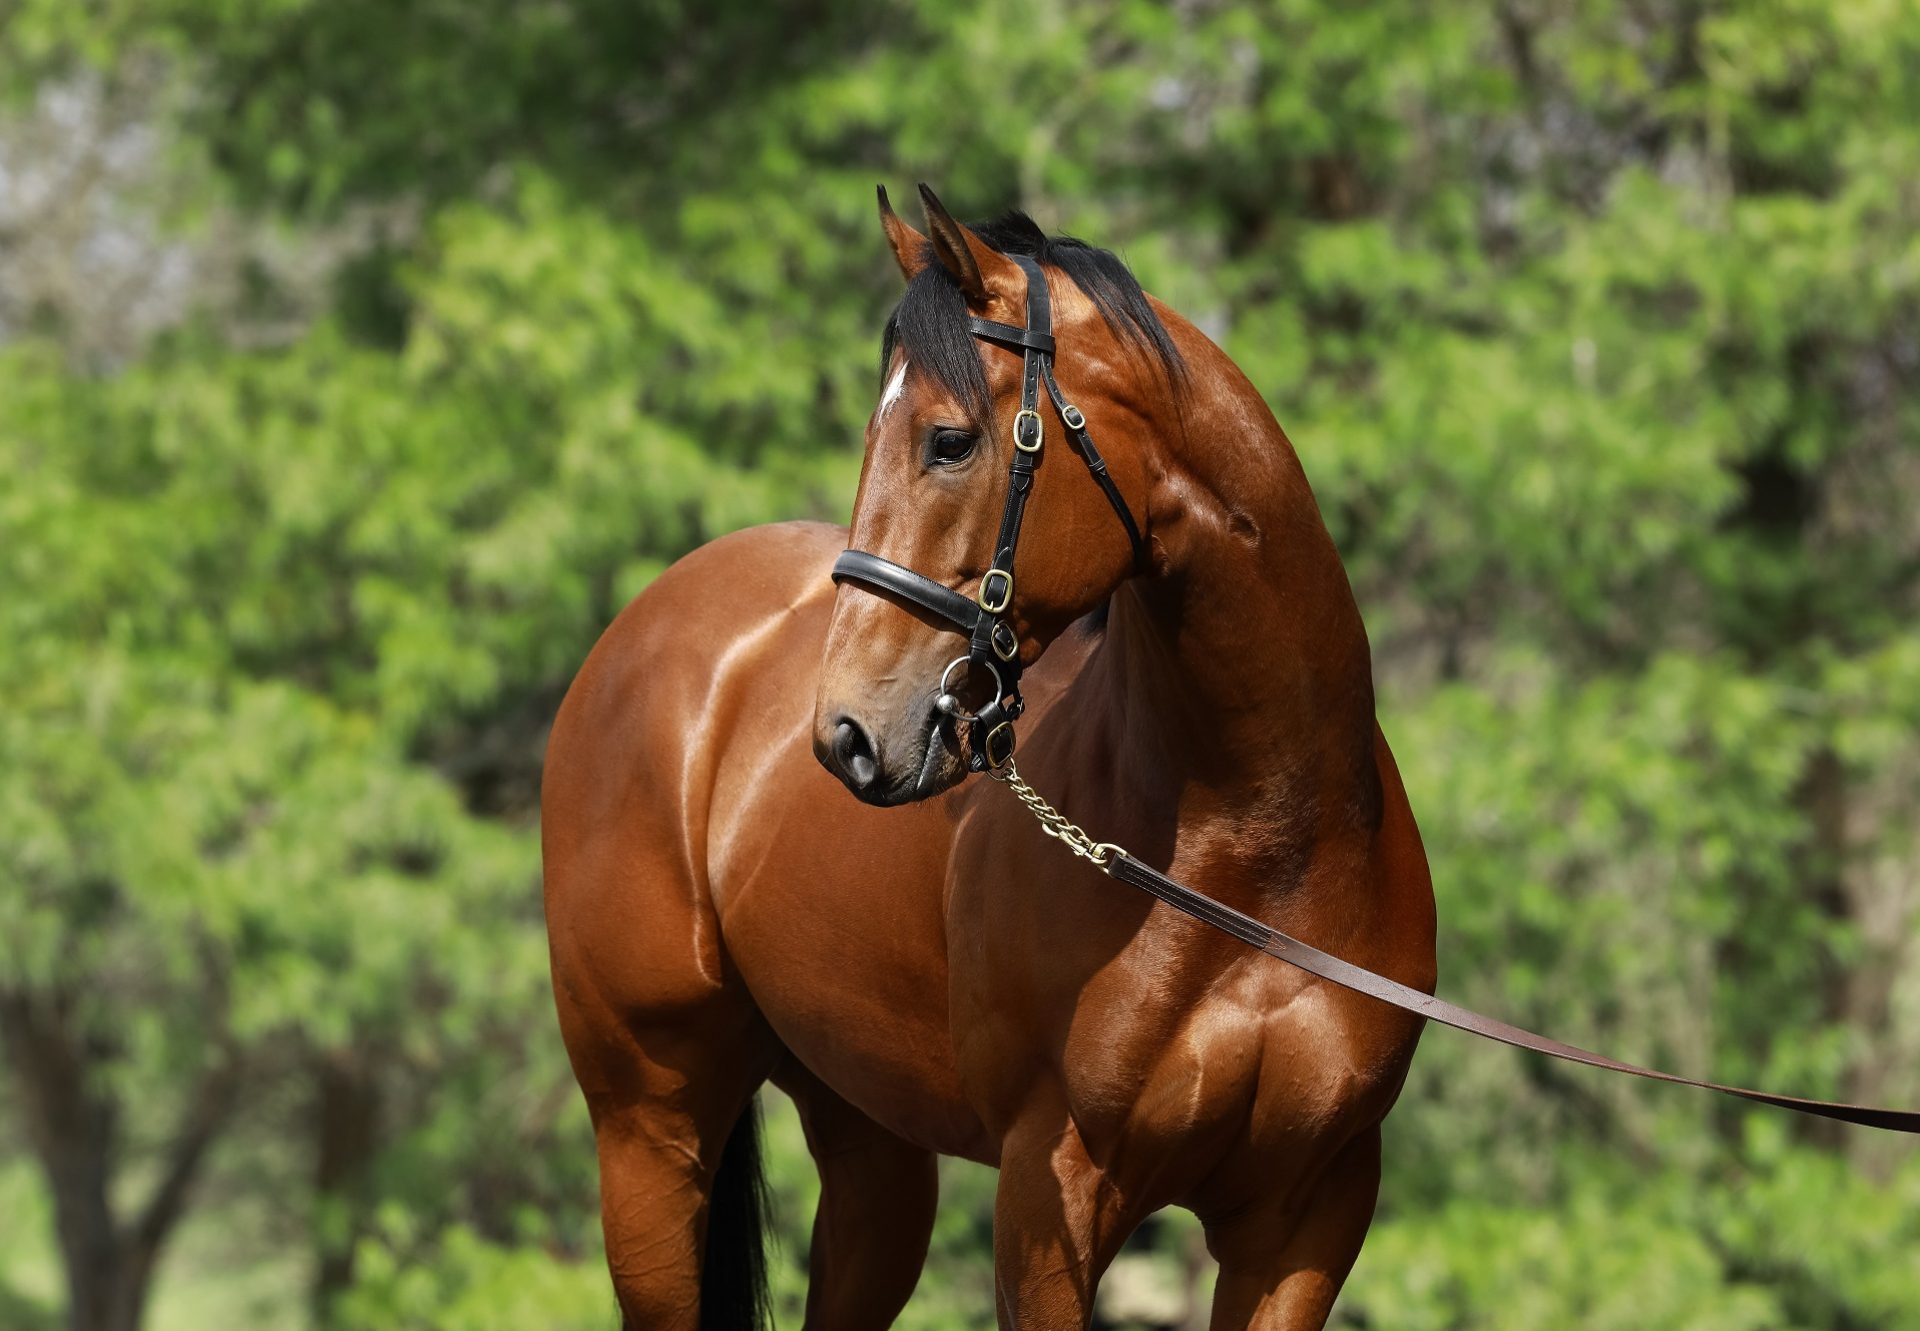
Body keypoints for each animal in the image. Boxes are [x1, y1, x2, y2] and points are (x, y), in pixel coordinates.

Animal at [549, 181, 1436, 1321]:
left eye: (949, 441)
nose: (848, 735)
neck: (1261, 847)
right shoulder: (1051, 1188)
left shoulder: (1307, 1213)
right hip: (649, 1131)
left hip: (871, 1144)